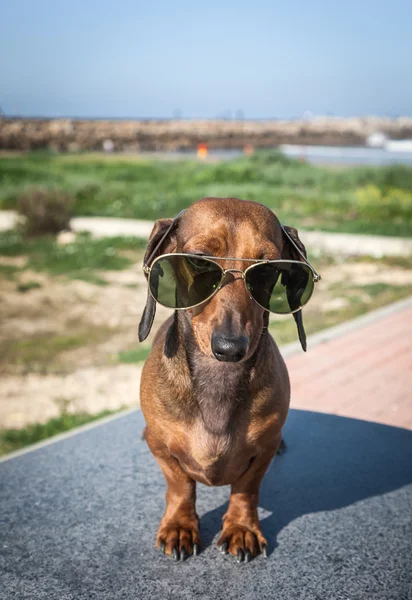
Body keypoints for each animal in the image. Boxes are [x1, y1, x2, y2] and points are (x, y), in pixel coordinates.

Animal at [138, 197, 316, 564]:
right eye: (199, 260)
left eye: (266, 267)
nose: (230, 348)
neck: (218, 382)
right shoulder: (160, 447)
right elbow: (180, 486)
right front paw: (180, 525)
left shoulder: (262, 452)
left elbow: (246, 489)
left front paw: (241, 528)